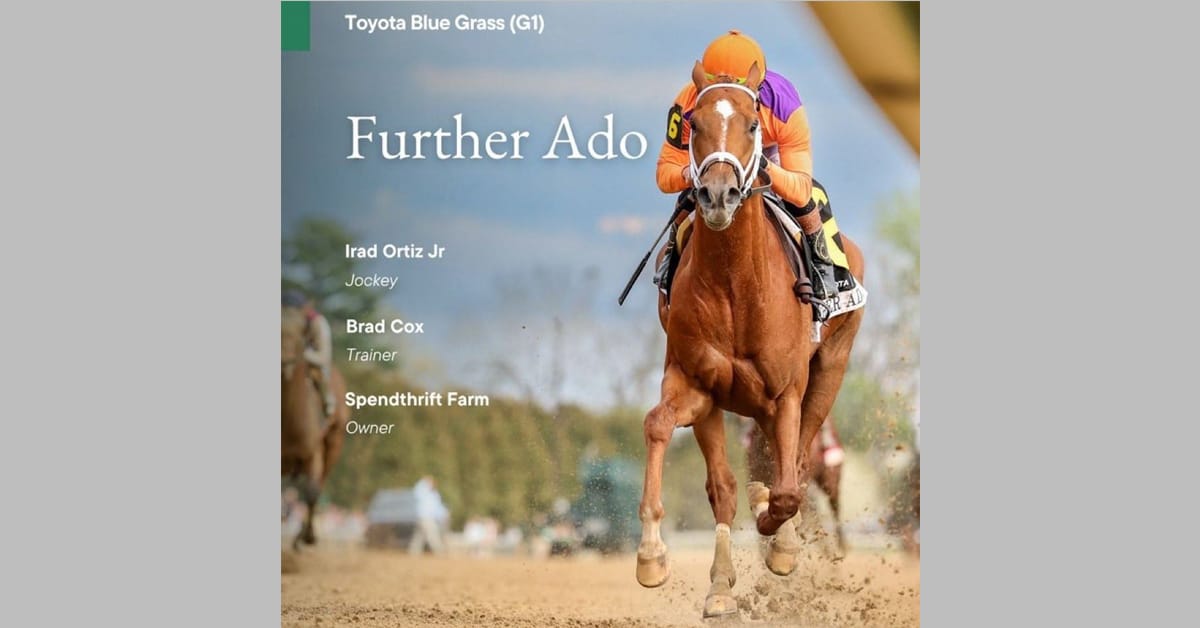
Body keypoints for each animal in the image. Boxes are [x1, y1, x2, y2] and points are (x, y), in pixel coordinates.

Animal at [281, 305, 348, 550]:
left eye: (301, 335)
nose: (284, 361)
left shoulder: (313, 449)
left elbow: (311, 491)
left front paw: (306, 537)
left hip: (334, 441)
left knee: (319, 484)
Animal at [635, 62, 866, 618]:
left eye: (753, 124)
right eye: (693, 125)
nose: (717, 196)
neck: (736, 283)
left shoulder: (785, 393)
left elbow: (788, 490)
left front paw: (779, 543)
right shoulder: (697, 384)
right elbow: (661, 428)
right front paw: (653, 556)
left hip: (829, 371)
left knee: (798, 466)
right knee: (729, 483)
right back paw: (722, 581)